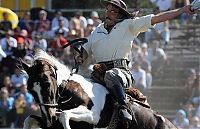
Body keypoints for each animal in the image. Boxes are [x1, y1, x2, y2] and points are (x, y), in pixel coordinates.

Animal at [20, 48, 177, 129]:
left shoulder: (94, 116)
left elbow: (64, 115)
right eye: (30, 90)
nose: (50, 116)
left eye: (47, 83)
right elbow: (28, 120)